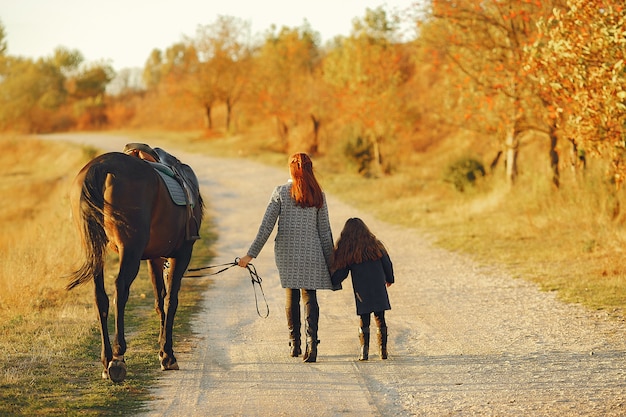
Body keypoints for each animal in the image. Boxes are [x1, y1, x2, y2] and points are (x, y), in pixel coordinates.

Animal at [66, 148, 204, 382]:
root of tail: (101, 166)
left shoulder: (154, 258)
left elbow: (159, 300)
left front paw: (162, 352)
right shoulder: (182, 254)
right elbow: (170, 301)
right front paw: (168, 355)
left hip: (95, 249)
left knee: (100, 296)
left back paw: (106, 359)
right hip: (130, 248)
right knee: (120, 289)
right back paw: (118, 358)